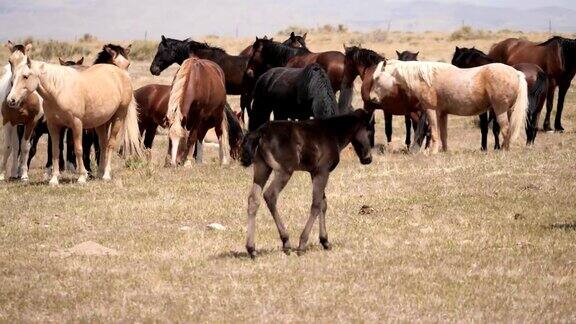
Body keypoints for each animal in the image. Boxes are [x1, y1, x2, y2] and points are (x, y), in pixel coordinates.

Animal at [0, 41, 43, 181]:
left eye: (26, 62)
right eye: (10, 61)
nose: (11, 100)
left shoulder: (31, 123)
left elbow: (25, 147)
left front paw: (24, 175)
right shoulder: (7, 122)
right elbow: (7, 147)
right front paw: (1, 175)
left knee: (19, 146)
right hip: (14, 125)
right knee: (14, 147)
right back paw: (13, 173)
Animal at [7, 48, 143, 185]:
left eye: (25, 76)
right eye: (14, 76)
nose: (11, 100)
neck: (59, 91)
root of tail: (122, 74)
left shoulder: (76, 124)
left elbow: (78, 149)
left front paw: (82, 177)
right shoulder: (53, 126)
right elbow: (55, 150)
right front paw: (54, 179)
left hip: (118, 118)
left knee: (110, 145)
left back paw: (106, 175)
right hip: (101, 123)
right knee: (103, 145)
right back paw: (100, 173)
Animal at [240, 109, 372, 258]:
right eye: (369, 130)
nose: (368, 158)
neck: (332, 132)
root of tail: (260, 133)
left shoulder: (314, 173)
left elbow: (323, 204)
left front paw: (325, 241)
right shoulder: (322, 171)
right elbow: (316, 205)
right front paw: (302, 245)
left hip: (262, 168)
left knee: (253, 199)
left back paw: (252, 249)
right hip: (284, 171)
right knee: (270, 196)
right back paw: (286, 242)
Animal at [368, 59, 528, 153]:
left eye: (377, 78)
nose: (372, 98)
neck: (424, 79)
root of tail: (516, 73)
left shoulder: (431, 110)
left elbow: (434, 132)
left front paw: (432, 153)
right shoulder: (442, 113)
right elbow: (443, 133)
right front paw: (444, 151)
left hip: (500, 111)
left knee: (506, 130)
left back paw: (503, 151)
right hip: (509, 111)